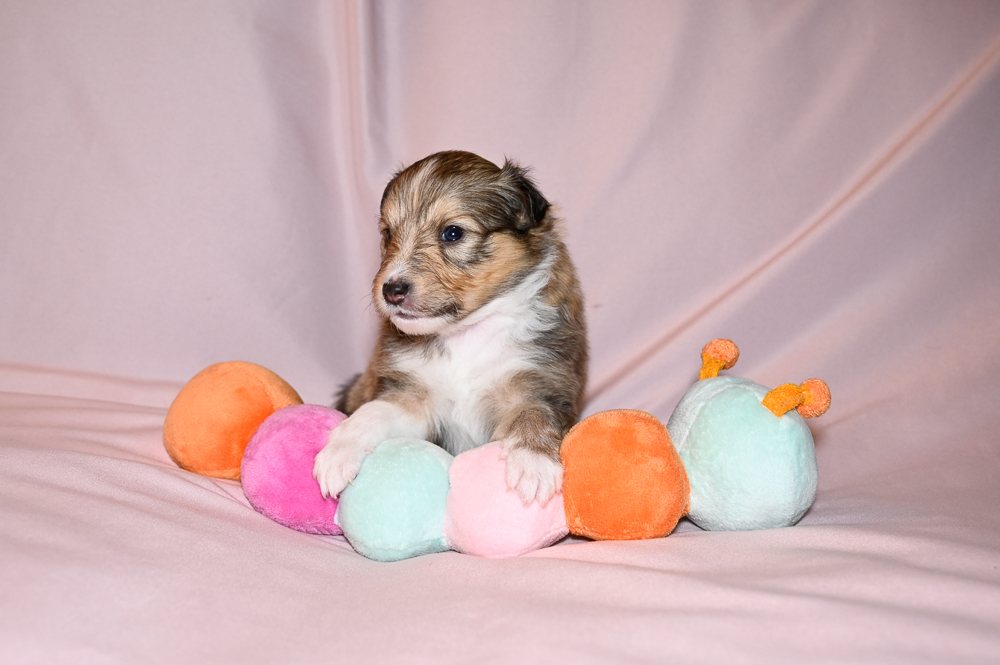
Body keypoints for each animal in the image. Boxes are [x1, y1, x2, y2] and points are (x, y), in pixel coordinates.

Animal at [313, 150, 587, 506]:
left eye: (453, 233)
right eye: (388, 233)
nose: (391, 290)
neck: (465, 333)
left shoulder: (542, 383)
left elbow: (535, 415)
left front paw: (532, 464)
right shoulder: (413, 396)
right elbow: (373, 412)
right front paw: (338, 452)